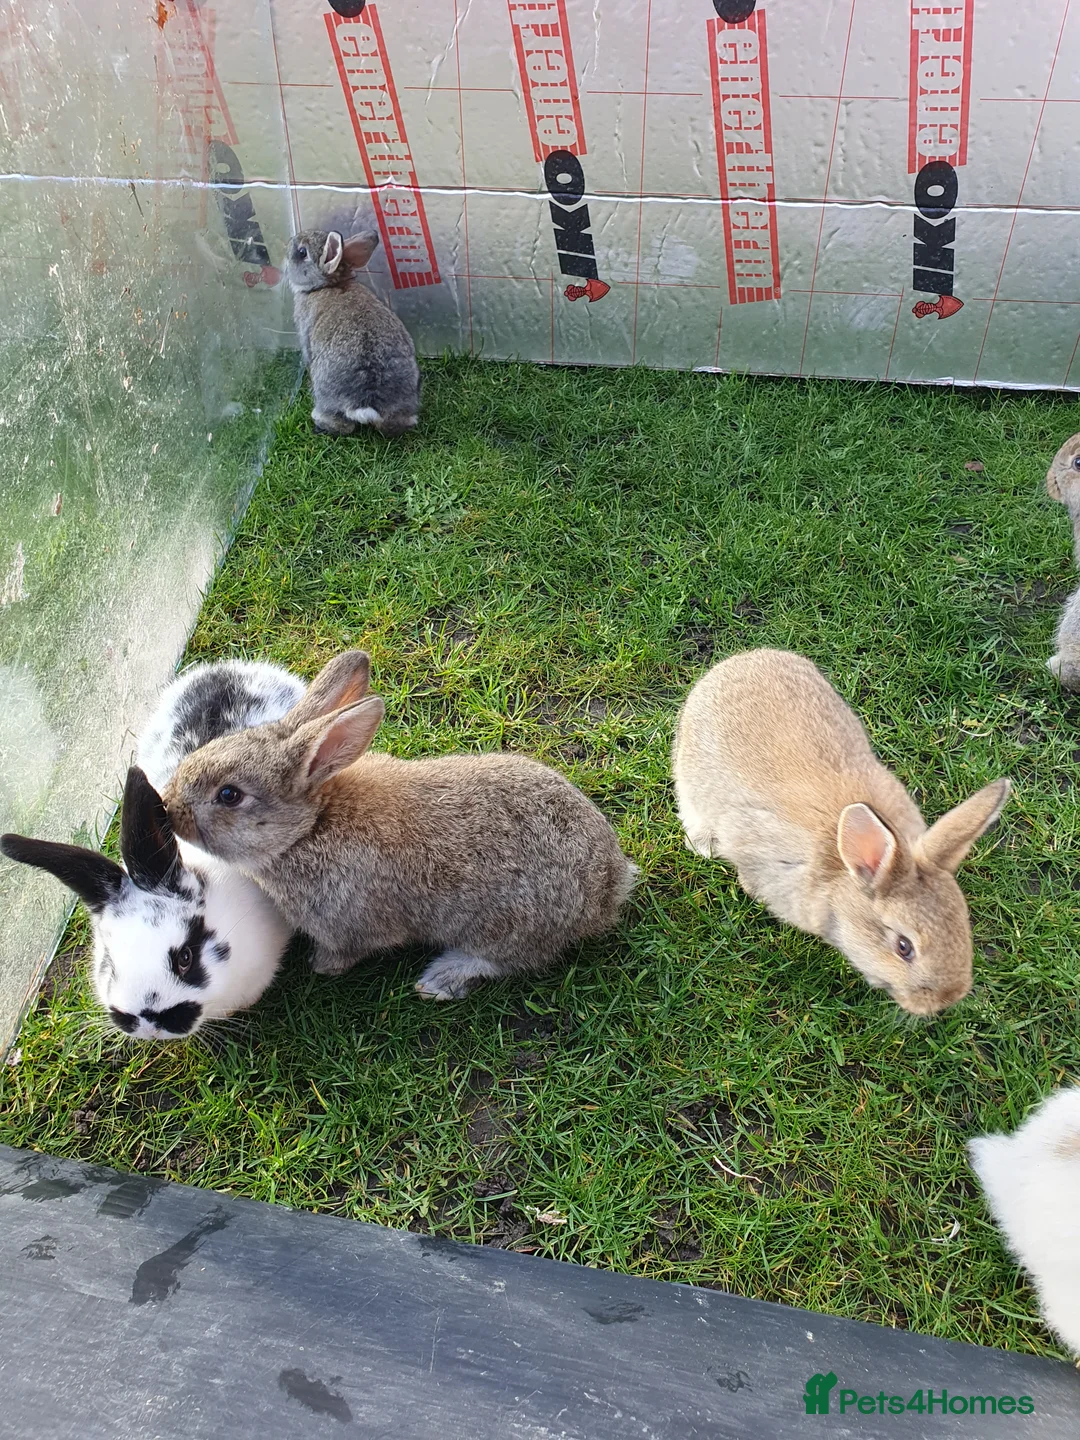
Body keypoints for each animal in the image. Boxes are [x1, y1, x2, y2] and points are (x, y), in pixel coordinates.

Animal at [161, 651, 638, 1001]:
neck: (310, 828)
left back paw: (440, 980)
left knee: (501, 960)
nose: (168, 807)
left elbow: (347, 951)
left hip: (507, 926)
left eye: (229, 795)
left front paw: (321, 966)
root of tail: (609, 888)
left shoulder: (348, 925)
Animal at [284, 228, 420, 439]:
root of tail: (367, 402)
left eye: (302, 252)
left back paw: (318, 424)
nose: (289, 242)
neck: (327, 284)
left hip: (327, 398)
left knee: (341, 425)